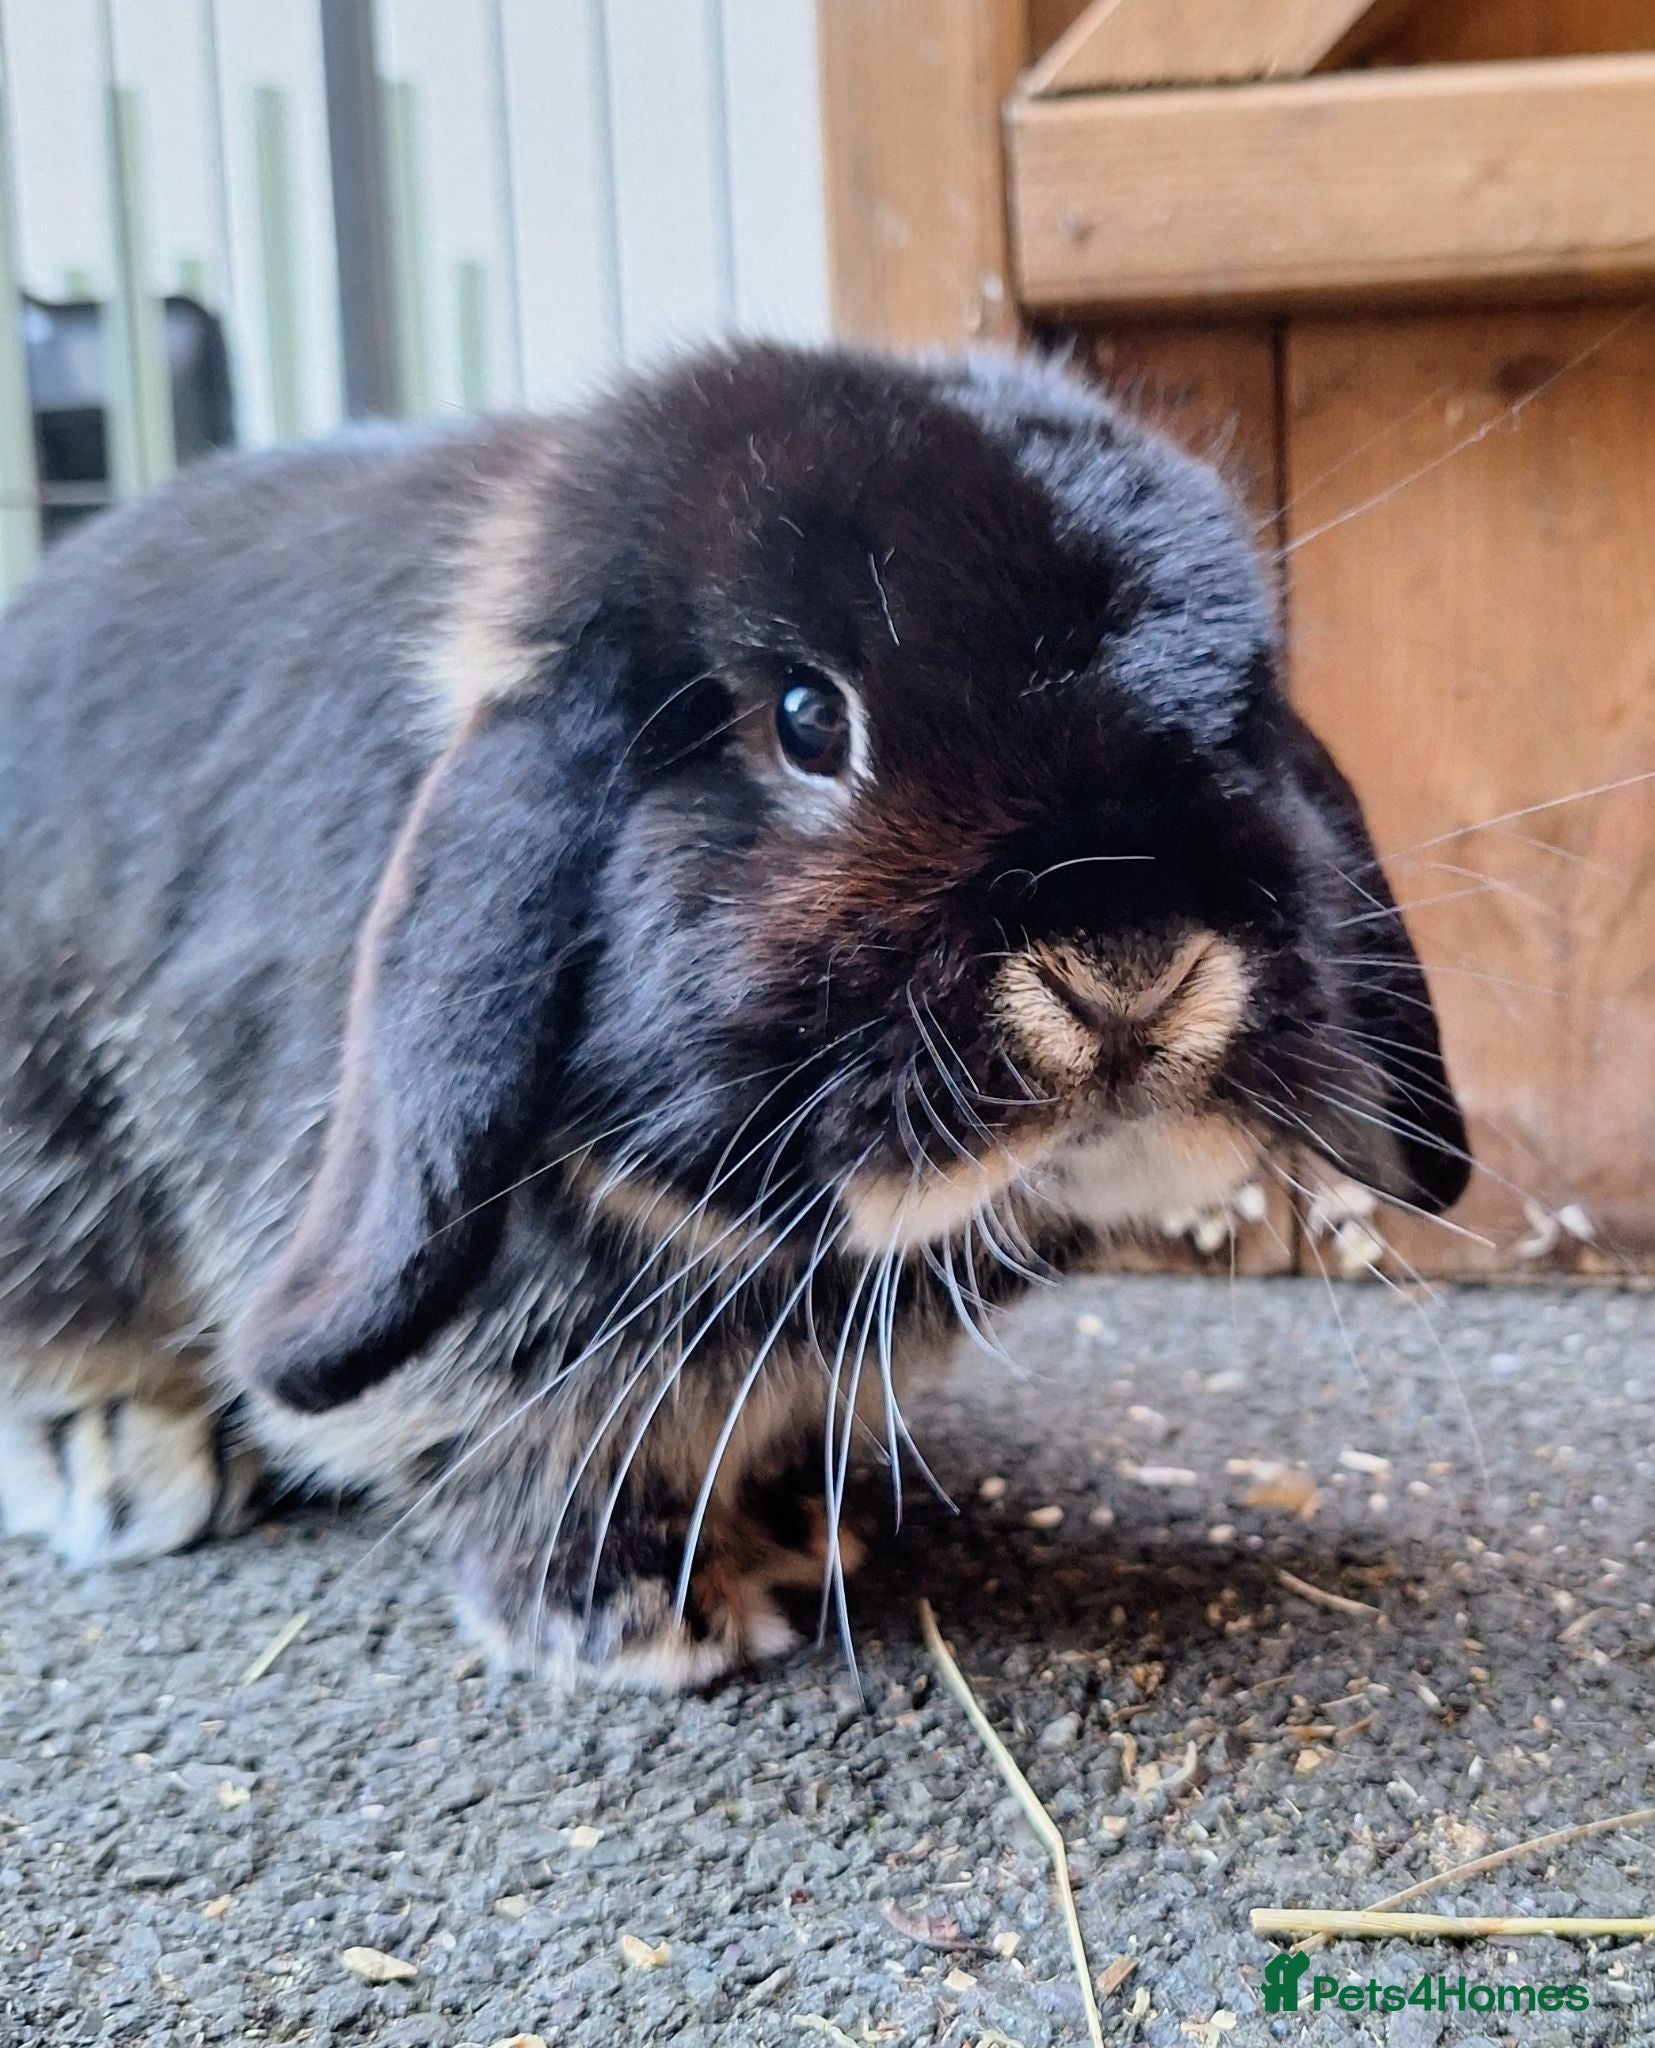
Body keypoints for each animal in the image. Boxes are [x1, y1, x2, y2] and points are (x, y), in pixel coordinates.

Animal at [0, 343, 1468, 1687]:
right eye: (808, 720)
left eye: (1240, 717)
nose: (1129, 968)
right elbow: (518, 1440)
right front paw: (650, 1614)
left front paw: (802, 1529)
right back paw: (126, 1463)